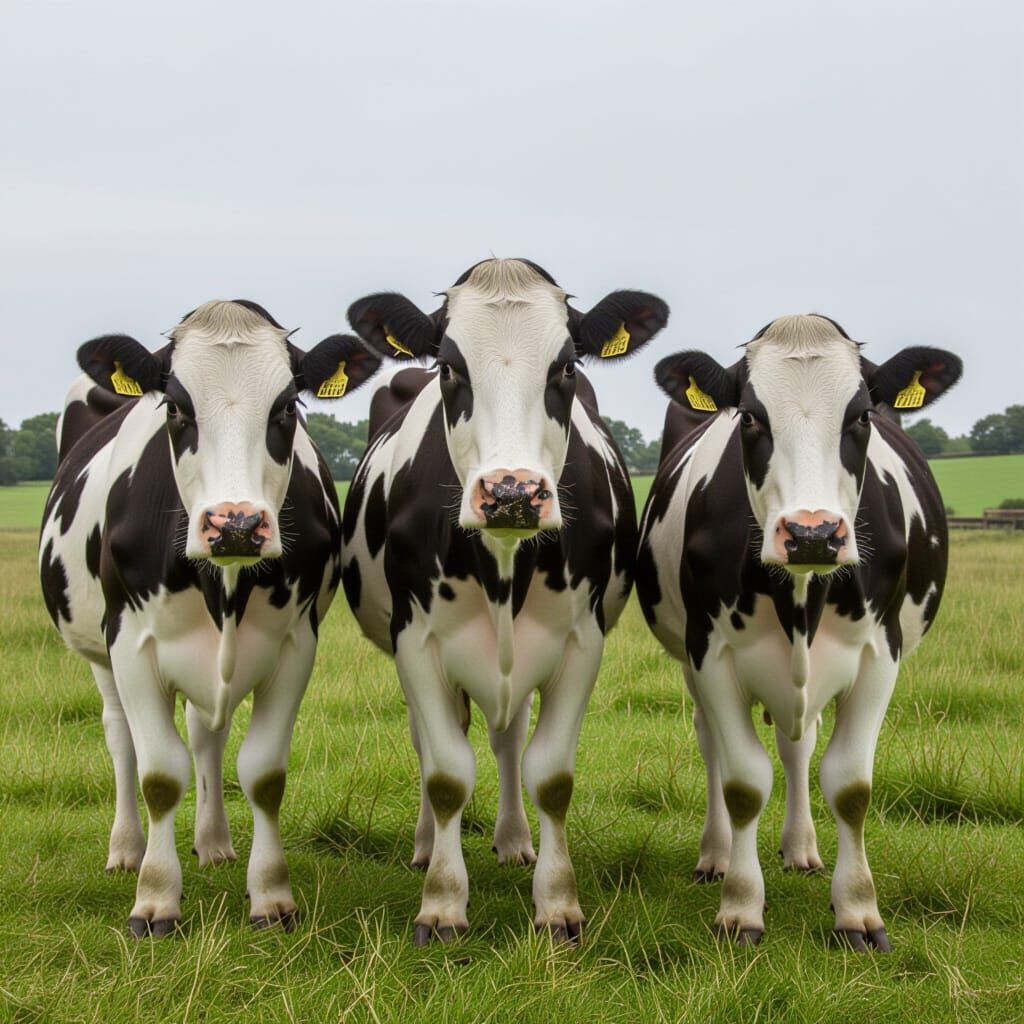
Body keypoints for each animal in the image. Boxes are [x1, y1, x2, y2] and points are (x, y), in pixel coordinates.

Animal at [39, 299, 381, 937]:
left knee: (206, 735)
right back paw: (126, 850)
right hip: (99, 653)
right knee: (120, 737)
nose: (237, 524)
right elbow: (158, 774)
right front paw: (154, 899)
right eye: (176, 406)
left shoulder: (296, 645)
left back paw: (214, 842)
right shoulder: (130, 645)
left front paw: (271, 896)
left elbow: (263, 773)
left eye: (286, 407)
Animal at [340, 258, 669, 944]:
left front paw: (558, 903)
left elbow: (551, 775)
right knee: (432, 742)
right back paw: (424, 847)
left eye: (566, 367)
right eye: (449, 367)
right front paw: (441, 903)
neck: (502, 563)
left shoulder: (582, 642)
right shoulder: (416, 642)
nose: (511, 492)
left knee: (509, 738)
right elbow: (445, 773)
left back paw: (515, 840)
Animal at [636, 314, 962, 950]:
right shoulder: (710, 653)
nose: (813, 533)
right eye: (750, 417)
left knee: (798, 744)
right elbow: (742, 781)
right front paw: (740, 908)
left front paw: (858, 911)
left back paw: (802, 848)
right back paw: (716, 855)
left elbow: (850, 784)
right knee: (713, 743)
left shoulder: (880, 654)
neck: (801, 596)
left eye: (861, 416)